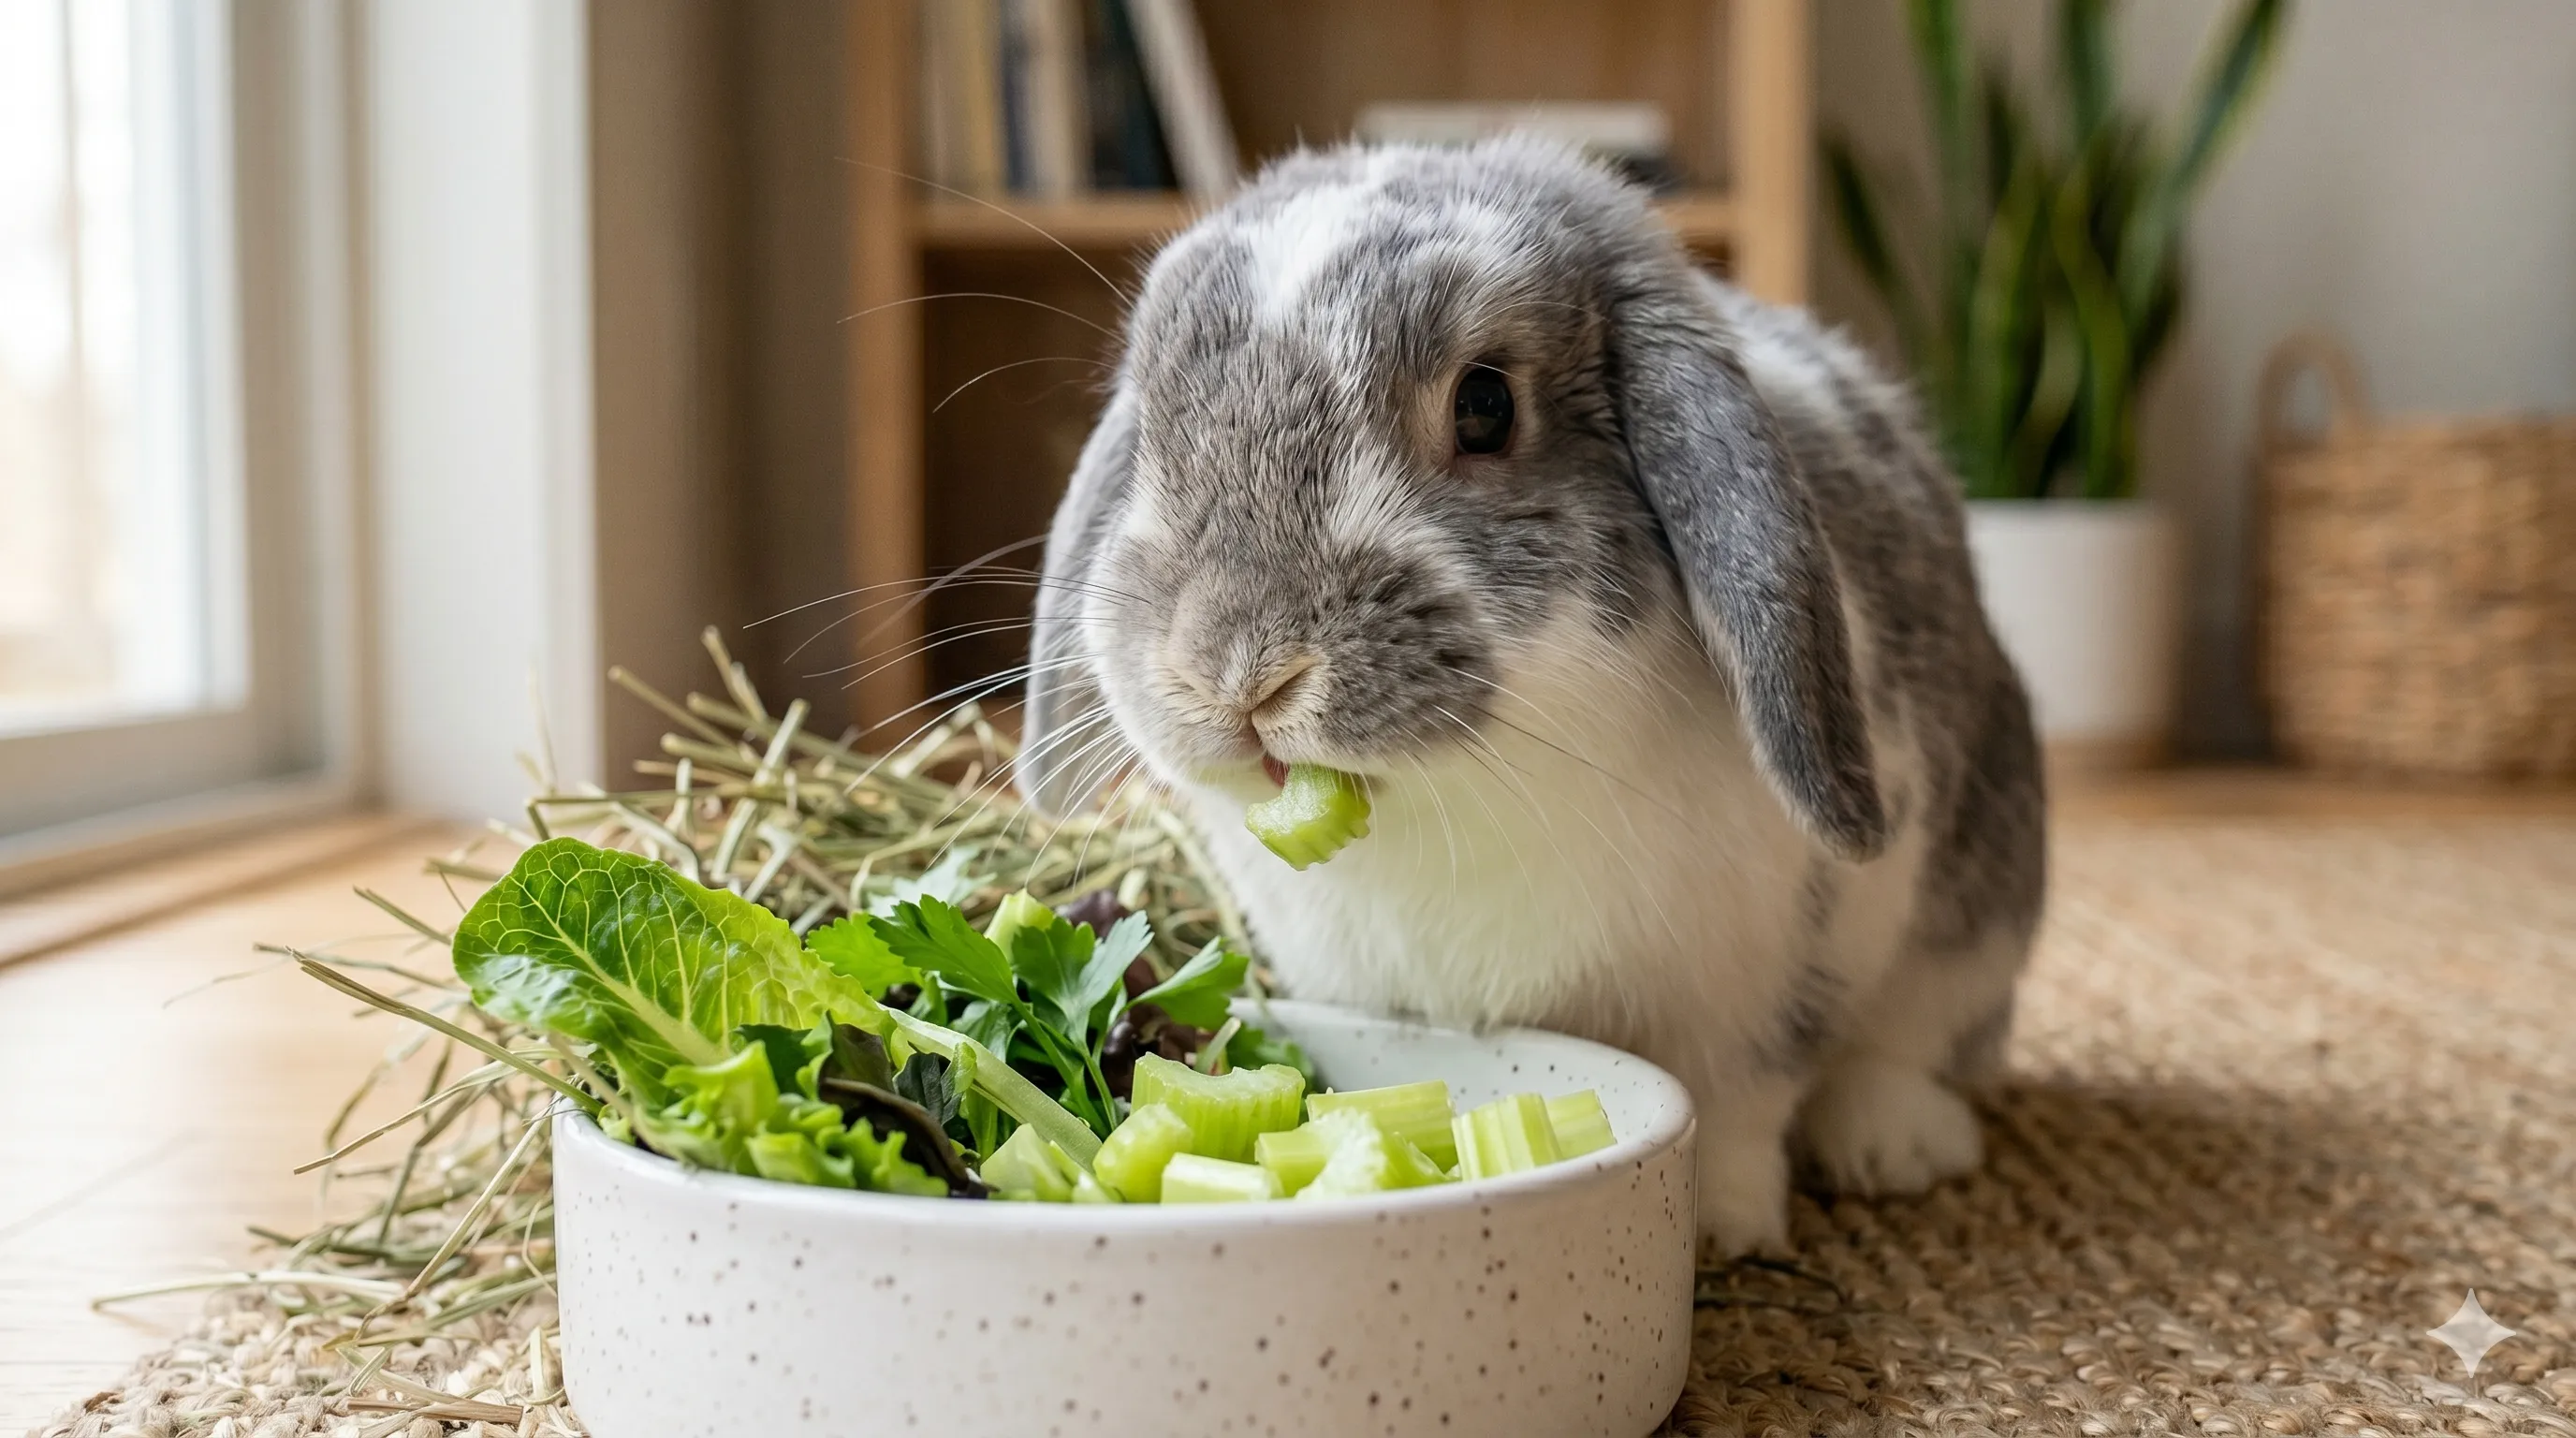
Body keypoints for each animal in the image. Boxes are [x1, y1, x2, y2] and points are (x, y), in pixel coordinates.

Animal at [1017, 137, 2045, 1256]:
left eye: (1484, 405)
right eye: (1156, 422)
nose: (1234, 671)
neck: (1459, 802)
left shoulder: (1763, 990)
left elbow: (1741, 1109)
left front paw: (1716, 1231)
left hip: (1978, 906)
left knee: (1913, 1045)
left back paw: (1890, 1145)